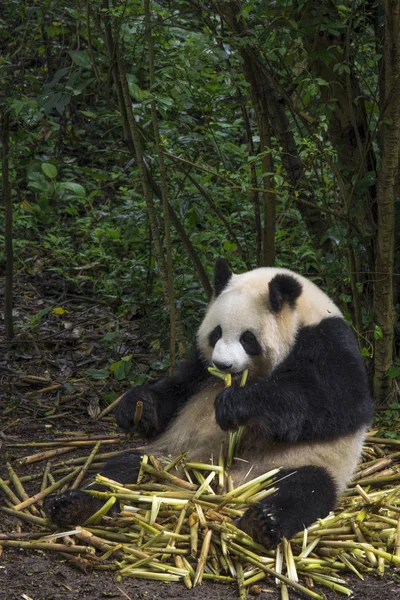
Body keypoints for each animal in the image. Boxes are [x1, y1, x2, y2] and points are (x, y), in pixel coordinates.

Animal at [47, 260, 376, 548]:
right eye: (216, 333)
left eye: (247, 338)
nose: (223, 364)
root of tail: (220, 483)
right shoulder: (199, 365)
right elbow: (176, 391)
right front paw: (136, 408)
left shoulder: (328, 341)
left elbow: (336, 404)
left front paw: (234, 405)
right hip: (171, 458)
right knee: (123, 470)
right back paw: (76, 504)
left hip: (291, 464)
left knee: (304, 489)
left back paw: (263, 521)